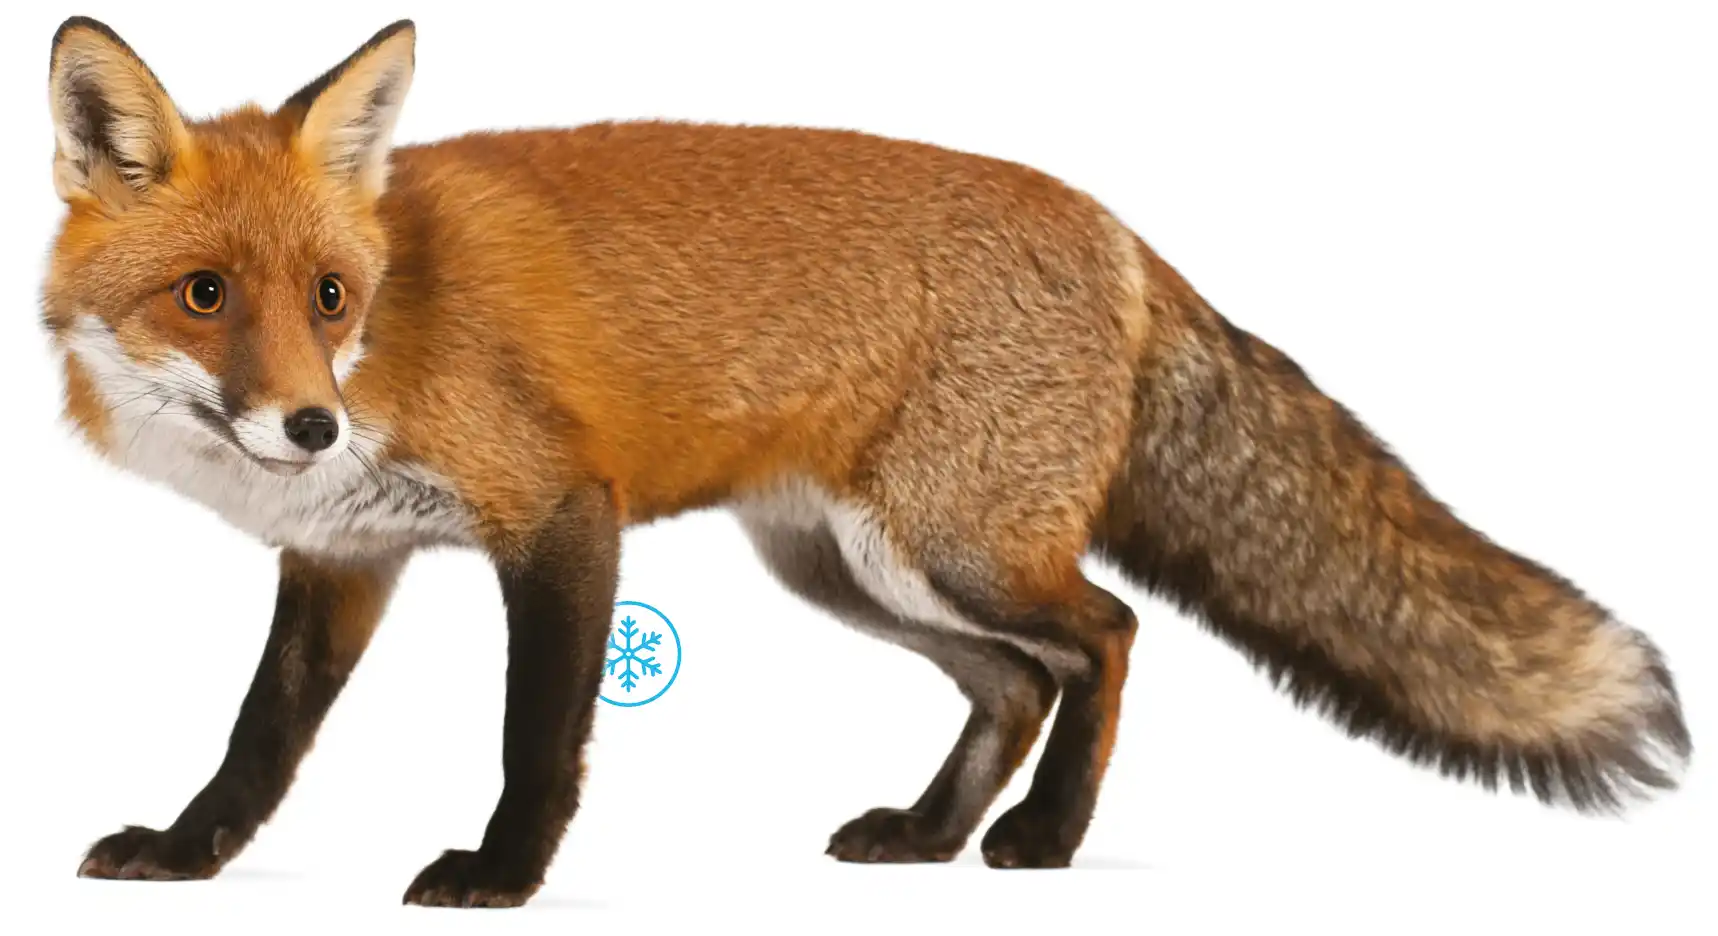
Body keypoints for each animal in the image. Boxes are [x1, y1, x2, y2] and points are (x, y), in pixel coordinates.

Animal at [39, 15, 1691, 908]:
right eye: (205, 296)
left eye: (329, 297)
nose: (308, 425)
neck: (394, 333)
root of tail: (1117, 230)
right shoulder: (345, 557)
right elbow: (259, 741)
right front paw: (188, 854)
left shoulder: (561, 516)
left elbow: (536, 740)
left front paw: (501, 878)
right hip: (845, 568)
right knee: (1018, 682)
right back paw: (929, 833)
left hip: (945, 547)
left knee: (1107, 634)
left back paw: (1040, 840)